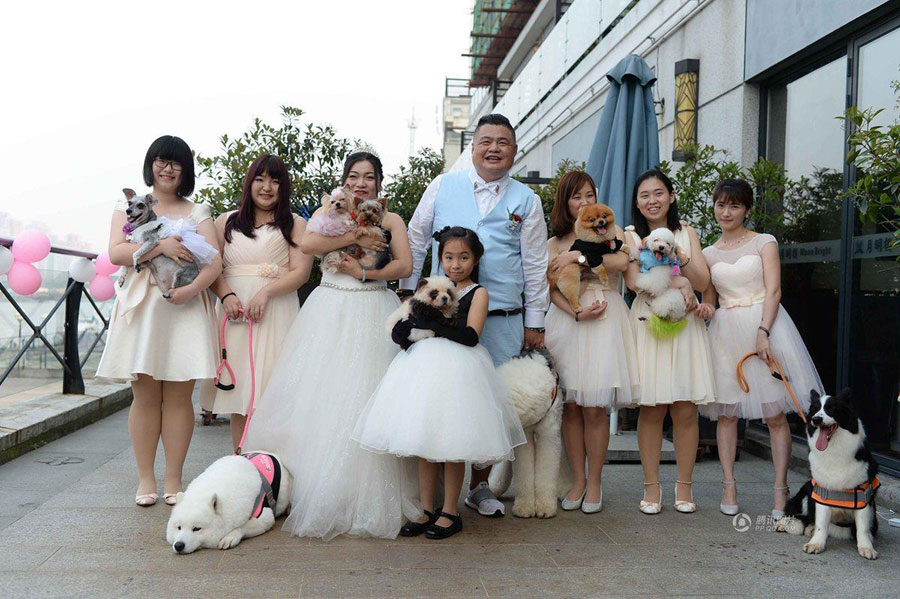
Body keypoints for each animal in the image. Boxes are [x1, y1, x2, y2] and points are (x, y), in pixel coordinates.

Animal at [488, 352, 560, 520]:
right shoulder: (524, 436)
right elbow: (524, 470)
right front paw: (524, 507)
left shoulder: (548, 435)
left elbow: (546, 469)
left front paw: (545, 507)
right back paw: (495, 486)